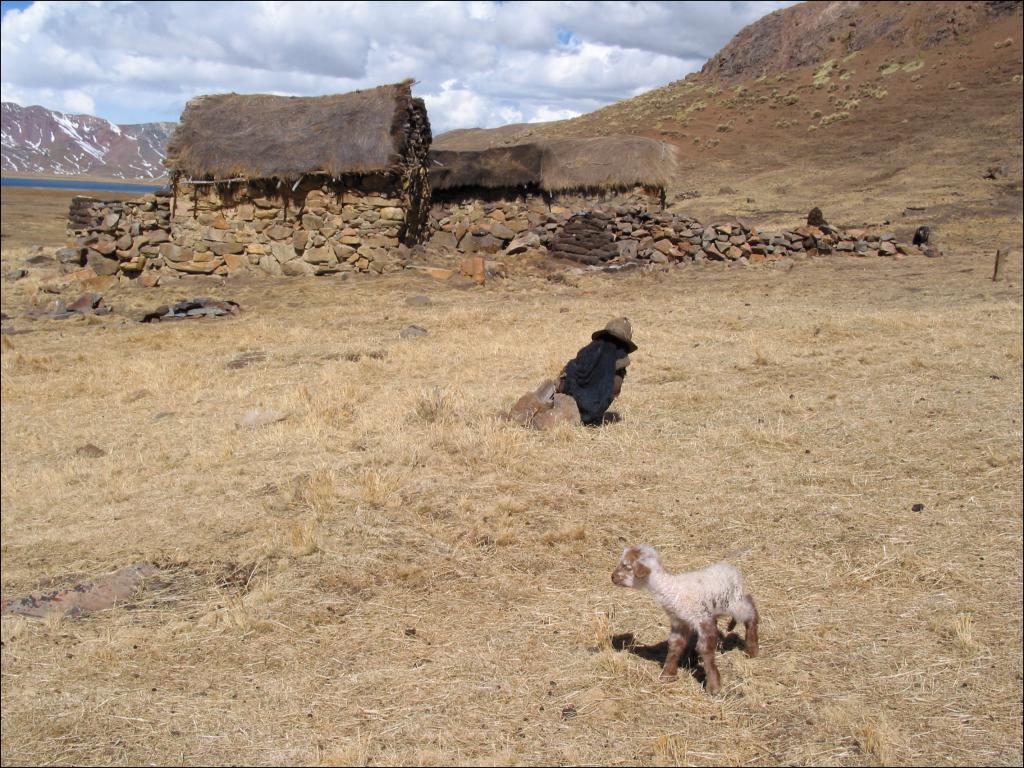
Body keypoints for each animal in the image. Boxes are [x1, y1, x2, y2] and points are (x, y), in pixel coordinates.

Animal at [606, 544, 761, 696]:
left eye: (627, 566)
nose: (612, 577)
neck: (671, 589)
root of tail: (732, 569)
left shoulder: (702, 618)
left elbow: (705, 649)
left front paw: (713, 686)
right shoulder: (679, 621)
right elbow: (675, 645)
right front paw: (667, 675)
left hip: (734, 602)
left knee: (750, 610)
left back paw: (751, 650)